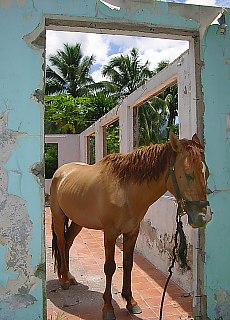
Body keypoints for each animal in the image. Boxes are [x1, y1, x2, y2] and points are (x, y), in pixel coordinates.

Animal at [49, 131, 212, 318]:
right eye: (188, 174)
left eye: (207, 173)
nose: (204, 216)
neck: (125, 190)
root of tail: (61, 172)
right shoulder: (110, 233)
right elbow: (110, 267)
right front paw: (108, 307)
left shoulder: (132, 232)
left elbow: (128, 264)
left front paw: (130, 301)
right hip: (58, 217)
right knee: (61, 242)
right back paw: (63, 279)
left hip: (78, 221)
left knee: (68, 243)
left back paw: (69, 276)